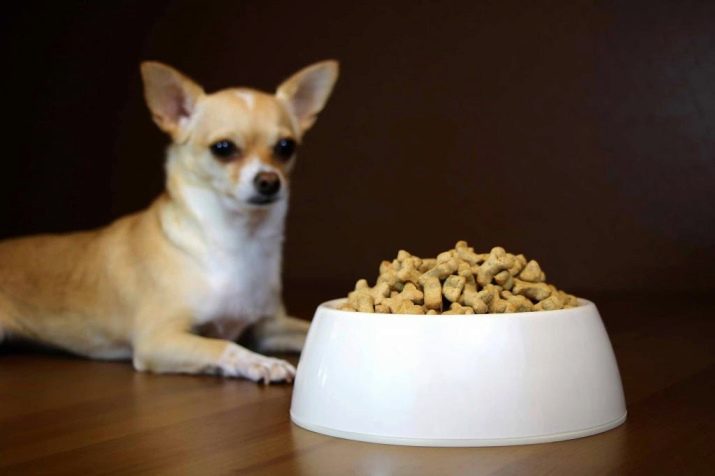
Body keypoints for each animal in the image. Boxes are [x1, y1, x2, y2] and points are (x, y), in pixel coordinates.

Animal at [0, 60, 339, 383]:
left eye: (286, 147)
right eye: (223, 148)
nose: (269, 181)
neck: (239, 241)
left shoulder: (266, 327)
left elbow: (305, 328)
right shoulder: (158, 339)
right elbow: (225, 345)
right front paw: (262, 362)